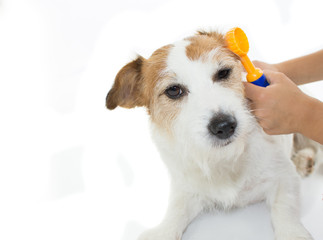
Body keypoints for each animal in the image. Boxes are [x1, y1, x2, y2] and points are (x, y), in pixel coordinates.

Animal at [107, 30, 316, 240]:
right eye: (173, 90)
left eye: (223, 73)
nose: (224, 126)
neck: (223, 158)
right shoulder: (186, 188)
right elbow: (176, 210)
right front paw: (163, 231)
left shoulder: (284, 177)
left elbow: (284, 207)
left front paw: (292, 233)